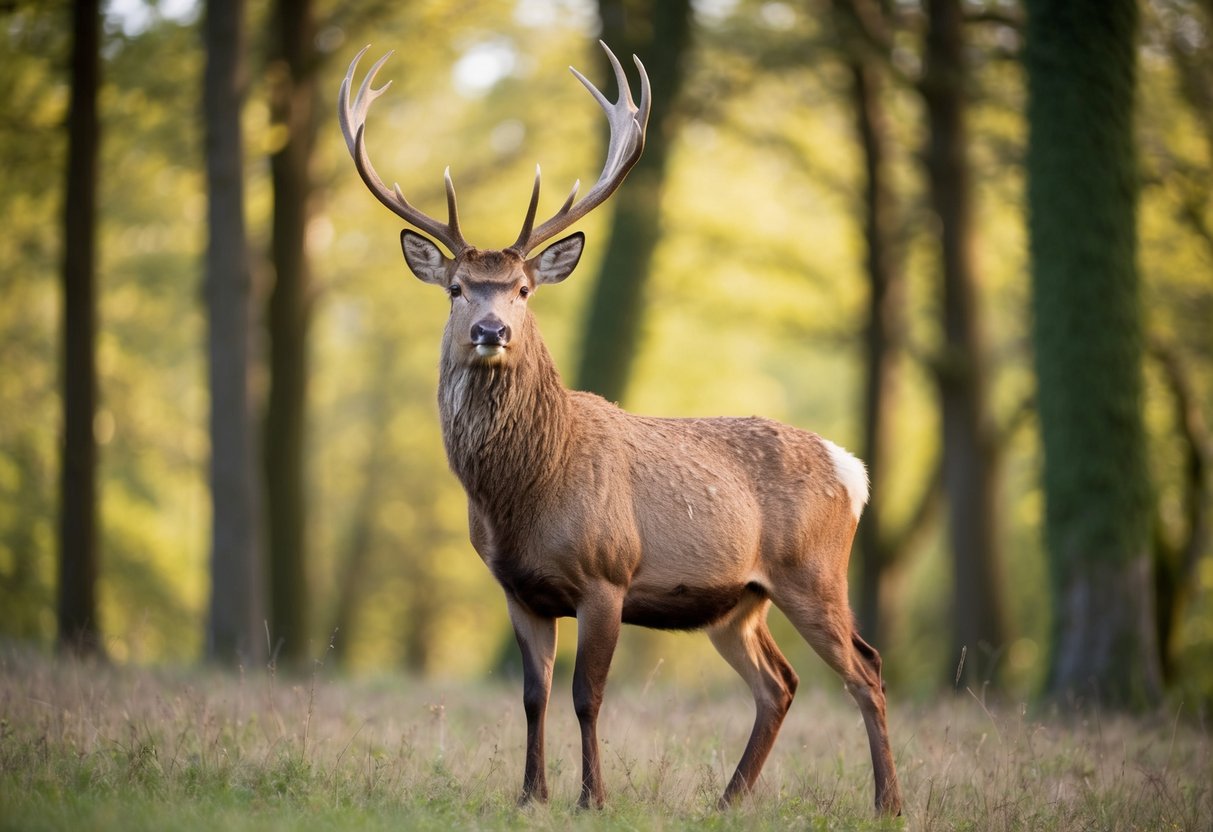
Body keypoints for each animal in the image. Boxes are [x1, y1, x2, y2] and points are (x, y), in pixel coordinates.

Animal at [338, 42, 903, 816]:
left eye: (523, 290)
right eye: (456, 289)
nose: (490, 331)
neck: (521, 494)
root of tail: (852, 468)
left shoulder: (607, 574)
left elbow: (587, 695)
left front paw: (591, 798)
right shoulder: (518, 588)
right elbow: (534, 696)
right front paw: (531, 796)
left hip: (813, 571)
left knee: (865, 668)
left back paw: (888, 805)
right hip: (739, 603)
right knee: (779, 683)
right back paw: (728, 801)